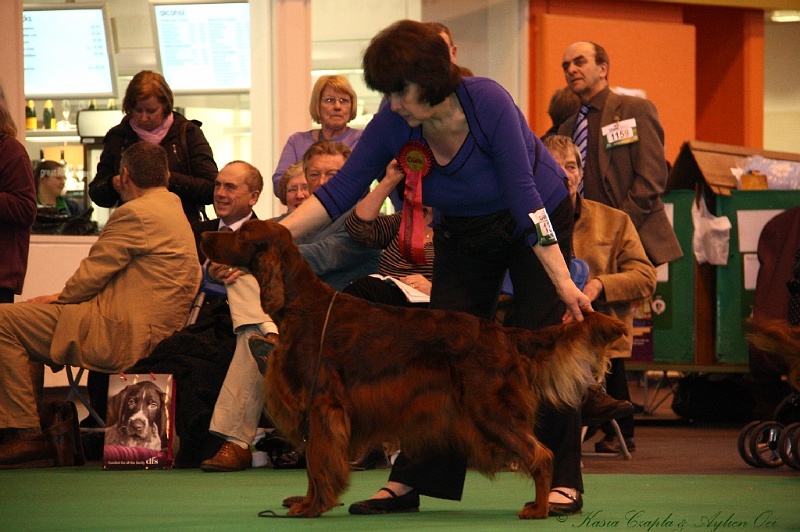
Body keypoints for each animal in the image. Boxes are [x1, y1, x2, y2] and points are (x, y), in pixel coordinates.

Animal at [200, 220, 624, 520]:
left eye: (241, 234)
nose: (204, 235)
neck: (302, 305)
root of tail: (504, 332)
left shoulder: (322, 404)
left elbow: (318, 462)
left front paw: (311, 507)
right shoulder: (317, 408)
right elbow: (315, 462)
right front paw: (307, 502)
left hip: (489, 410)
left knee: (542, 454)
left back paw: (540, 508)